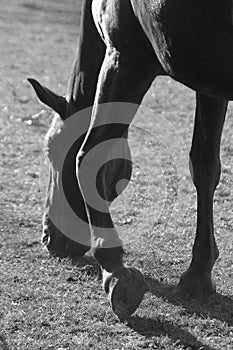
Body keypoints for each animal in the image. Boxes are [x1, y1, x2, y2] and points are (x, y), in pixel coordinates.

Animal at [28, 0, 233, 318]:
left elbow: (88, 156)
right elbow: (205, 168)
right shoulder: (208, 84)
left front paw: (115, 272)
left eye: (52, 150)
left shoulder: (124, 57)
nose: (48, 238)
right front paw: (198, 274)